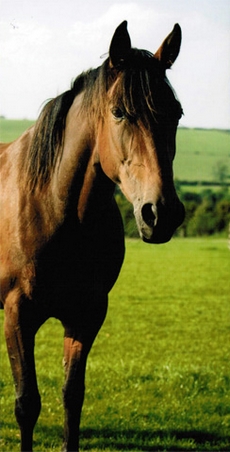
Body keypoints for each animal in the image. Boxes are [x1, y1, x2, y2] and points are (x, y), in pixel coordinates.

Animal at [0, 19, 184, 450]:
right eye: (118, 112)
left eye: (177, 113)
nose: (162, 214)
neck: (53, 204)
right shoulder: (17, 314)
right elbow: (26, 403)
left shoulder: (86, 315)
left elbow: (72, 397)